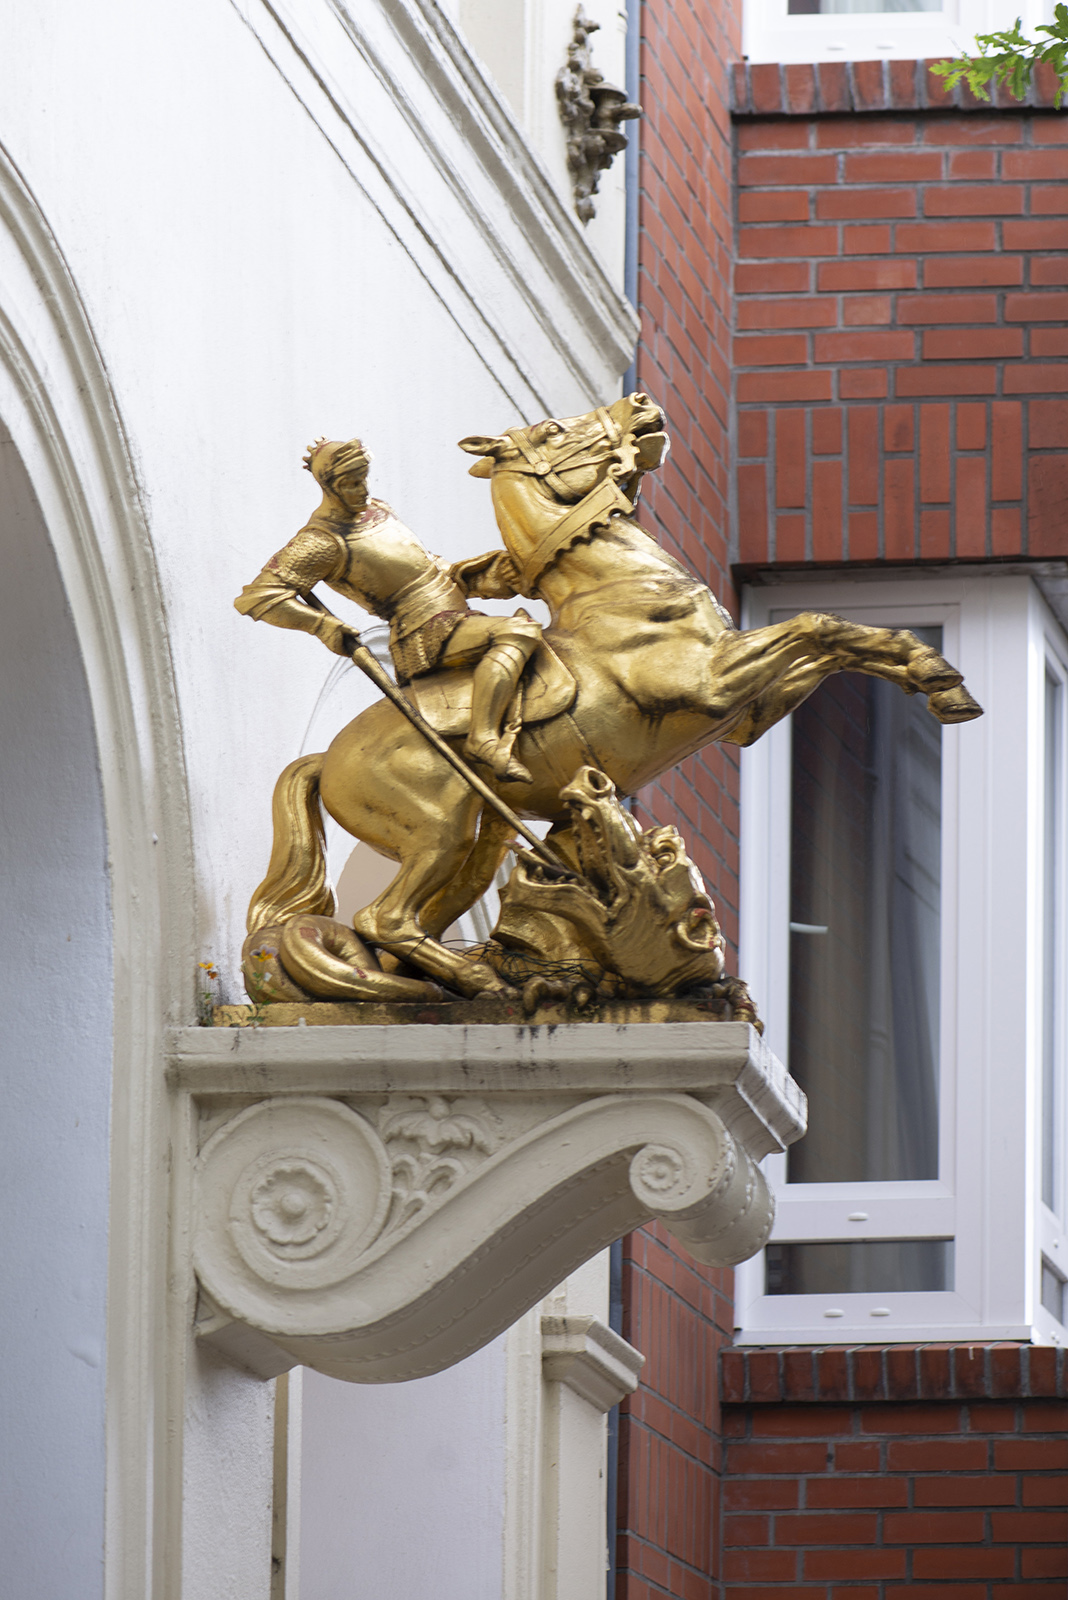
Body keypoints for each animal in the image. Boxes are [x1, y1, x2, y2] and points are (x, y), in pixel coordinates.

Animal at [246, 393, 978, 992]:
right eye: (550, 428)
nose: (641, 404)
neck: (622, 588)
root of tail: (327, 759)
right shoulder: (715, 685)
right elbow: (816, 626)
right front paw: (938, 677)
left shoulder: (747, 713)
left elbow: (837, 643)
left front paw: (938, 678)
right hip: (437, 828)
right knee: (384, 918)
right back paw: (483, 979)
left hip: (478, 845)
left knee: (400, 929)